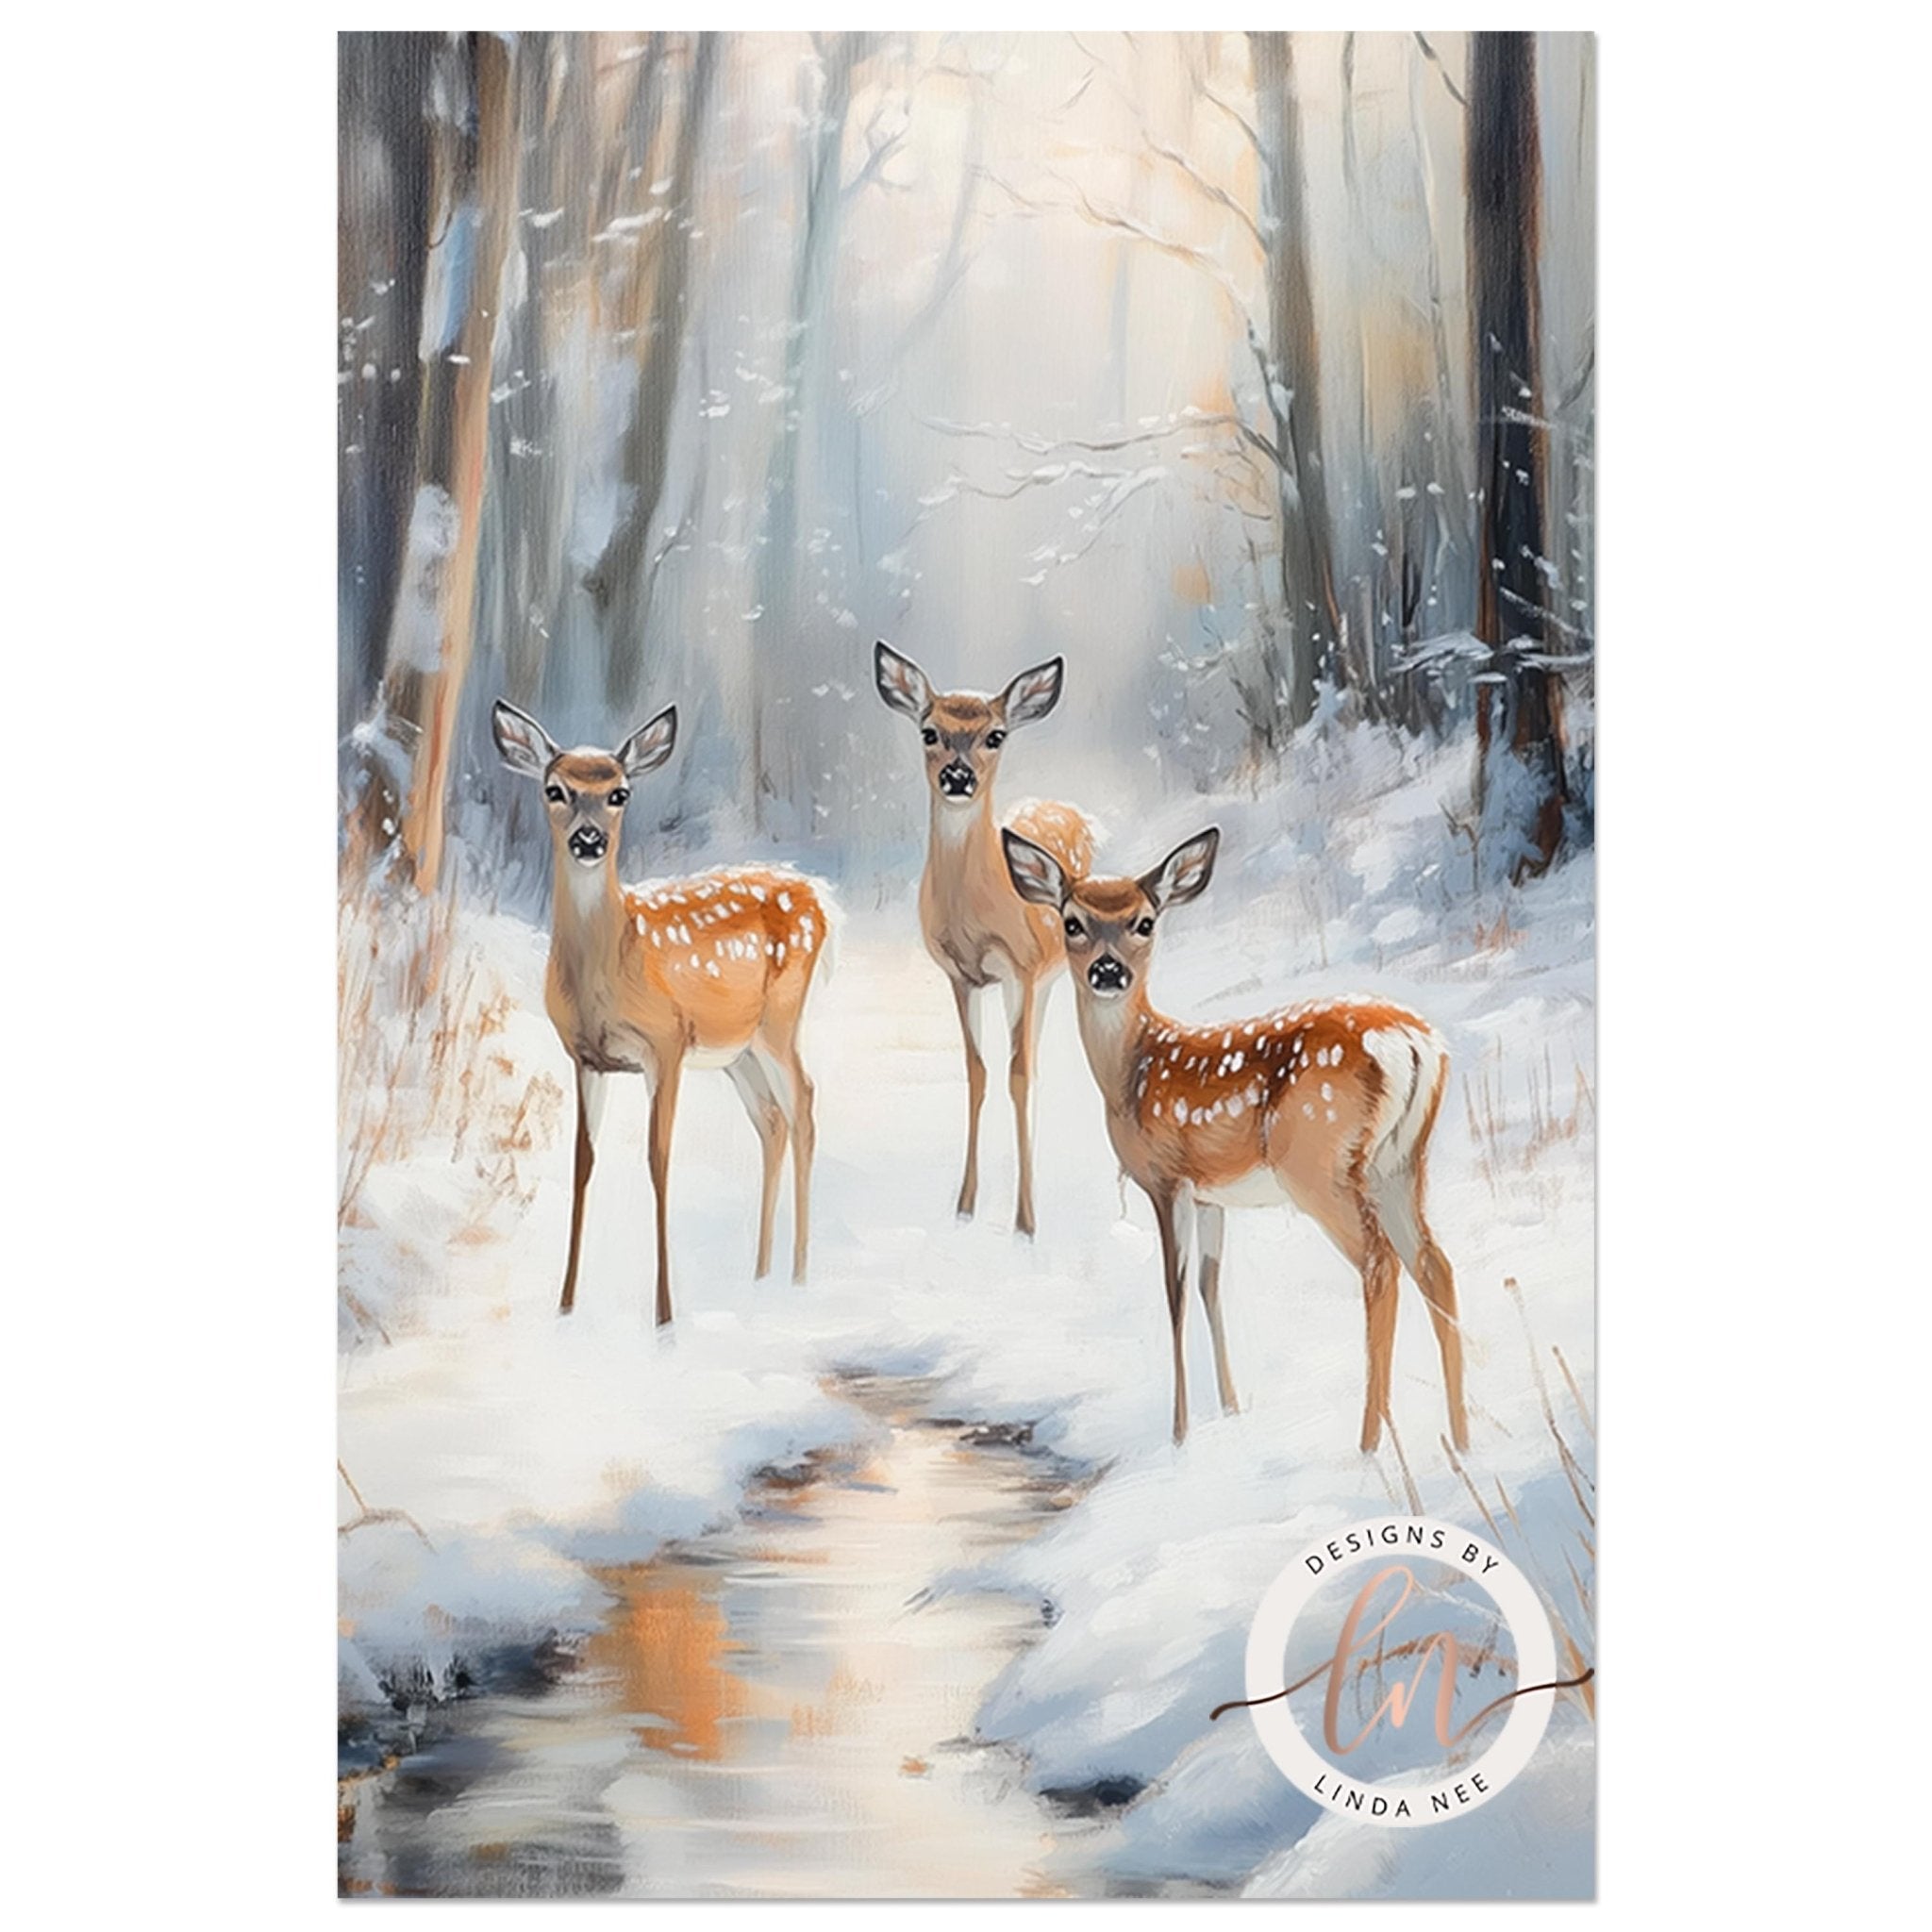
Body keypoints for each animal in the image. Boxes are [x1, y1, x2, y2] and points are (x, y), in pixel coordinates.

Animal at [492, 699, 830, 1325]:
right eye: (555, 790)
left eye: (619, 793)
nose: (588, 840)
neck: (612, 966)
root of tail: (820, 900)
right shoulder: (586, 1058)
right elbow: (583, 1161)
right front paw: (566, 1305)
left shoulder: (666, 1044)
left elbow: (658, 1159)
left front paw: (665, 1314)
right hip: (737, 1050)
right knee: (771, 1120)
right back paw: (760, 1273)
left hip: (779, 1021)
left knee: (804, 1104)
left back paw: (798, 1275)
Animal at [874, 640, 1096, 1235]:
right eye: (928, 731)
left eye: (996, 735)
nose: (958, 777)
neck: (973, 915)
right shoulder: (961, 975)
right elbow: (977, 1073)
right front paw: (965, 1206)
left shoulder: (1020, 968)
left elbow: (1016, 1074)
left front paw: (1026, 1222)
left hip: (1051, 973)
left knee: (1033, 1064)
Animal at [1002, 824, 1469, 1453]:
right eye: (1072, 921)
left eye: (1144, 922)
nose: (1108, 971)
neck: (1132, 1071)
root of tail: (1415, 1043)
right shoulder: (1210, 1195)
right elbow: (1210, 1285)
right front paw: (1230, 1412)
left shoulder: (1166, 1179)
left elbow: (1174, 1293)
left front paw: (1179, 1434)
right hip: (1399, 1162)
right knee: (1434, 1264)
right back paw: (1462, 1437)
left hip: (1318, 1164)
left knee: (1380, 1263)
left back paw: (1370, 1442)